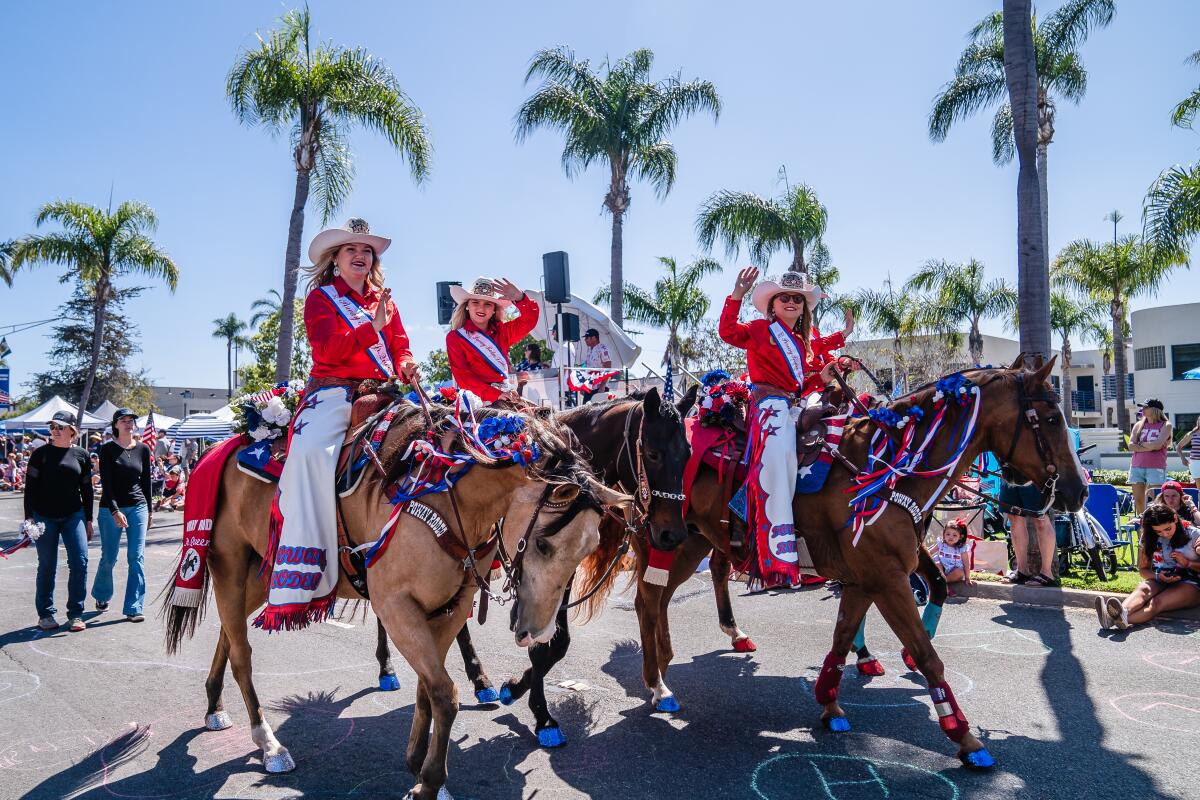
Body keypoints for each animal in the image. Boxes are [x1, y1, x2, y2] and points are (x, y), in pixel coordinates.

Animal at [164, 402, 633, 800]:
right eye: (542, 544)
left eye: (587, 549)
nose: (537, 632)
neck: (446, 494)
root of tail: (224, 446)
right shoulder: (396, 607)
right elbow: (444, 693)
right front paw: (429, 781)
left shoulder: (449, 606)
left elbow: (428, 688)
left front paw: (416, 763)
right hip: (229, 564)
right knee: (241, 653)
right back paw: (269, 744)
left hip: (259, 576)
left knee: (229, 634)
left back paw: (214, 705)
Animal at [369, 388, 700, 753]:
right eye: (653, 453)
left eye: (687, 454)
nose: (673, 535)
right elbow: (545, 644)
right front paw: (538, 712)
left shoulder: (559, 577)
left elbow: (555, 643)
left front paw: (517, 690)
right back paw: (387, 669)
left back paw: (480, 680)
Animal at [580, 357, 1089, 767]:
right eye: (1049, 418)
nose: (1078, 490)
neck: (885, 468)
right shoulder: (888, 579)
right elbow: (928, 655)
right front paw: (963, 737)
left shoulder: (869, 578)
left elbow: (846, 636)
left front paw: (831, 700)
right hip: (671, 539)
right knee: (650, 597)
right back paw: (657, 683)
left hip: (696, 541)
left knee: (663, 595)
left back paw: (672, 662)